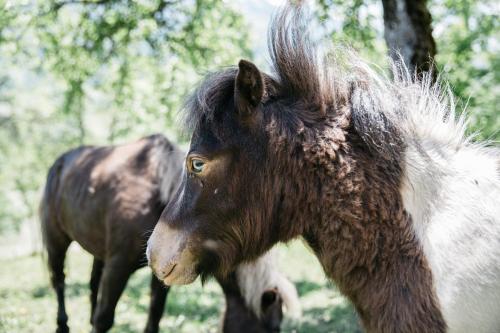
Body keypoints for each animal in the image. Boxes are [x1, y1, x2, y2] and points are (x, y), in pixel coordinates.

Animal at [40, 134, 296, 332]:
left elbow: (154, 315)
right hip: (56, 242)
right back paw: (62, 325)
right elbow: (104, 319)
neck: (161, 200)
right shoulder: (118, 267)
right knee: (59, 282)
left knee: (92, 285)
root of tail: (60, 162)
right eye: (274, 328)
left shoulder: (161, 273)